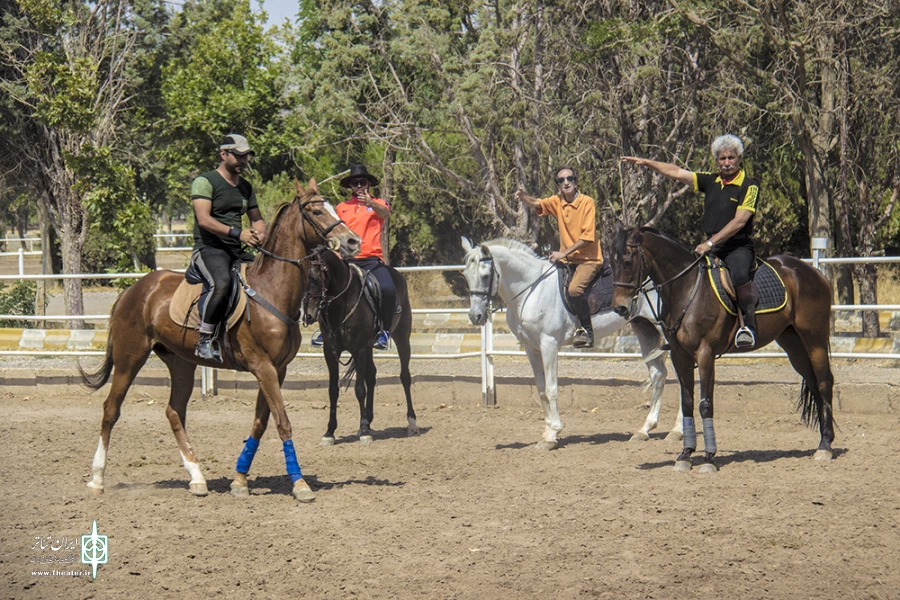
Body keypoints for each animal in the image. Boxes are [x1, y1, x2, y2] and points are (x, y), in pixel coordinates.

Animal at [77, 178, 358, 502]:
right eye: (316, 211)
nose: (353, 242)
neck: (271, 291)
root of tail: (132, 290)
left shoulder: (277, 369)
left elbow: (261, 422)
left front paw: (239, 479)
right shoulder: (263, 367)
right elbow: (282, 422)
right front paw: (299, 484)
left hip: (181, 364)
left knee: (174, 412)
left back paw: (197, 478)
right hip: (129, 358)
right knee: (111, 410)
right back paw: (97, 479)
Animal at [302, 245, 414, 446]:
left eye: (314, 278)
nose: (307, 315)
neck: (341, 304)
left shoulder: (359, 348)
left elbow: (360, 389)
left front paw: (363, 431)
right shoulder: (330, 352)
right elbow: (333, 390)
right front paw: (329, 432)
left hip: (402, 336)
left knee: (405, 377)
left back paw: (411, 422)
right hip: (370, 346)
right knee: (372, 375)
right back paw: (369, 420)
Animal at [464, 237, 684, 448]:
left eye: (485, 276)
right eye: (465, 275)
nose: (476, 316)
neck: (532, 289)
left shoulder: (549, 345)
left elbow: (552, 389)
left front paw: (552, 435)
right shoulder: (531, 348)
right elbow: (541, 390)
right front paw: (547, 431)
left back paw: (677, 430)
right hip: (644, 329)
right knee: (658, 375)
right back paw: (644, 430)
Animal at [608, 226, 832, 474]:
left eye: (628, 261)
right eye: (611, 263)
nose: (620, 307)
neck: (686, 289)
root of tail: (814, 272)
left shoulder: (705, 354)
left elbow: (705, 405)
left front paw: (708, 458)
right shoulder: (680, 356)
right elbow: (687, 403)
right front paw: (685, 455)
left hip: (814, 340)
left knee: (824, 383)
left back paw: (825, 447)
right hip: (793, 345)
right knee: (813, 382)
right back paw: (823, 441)